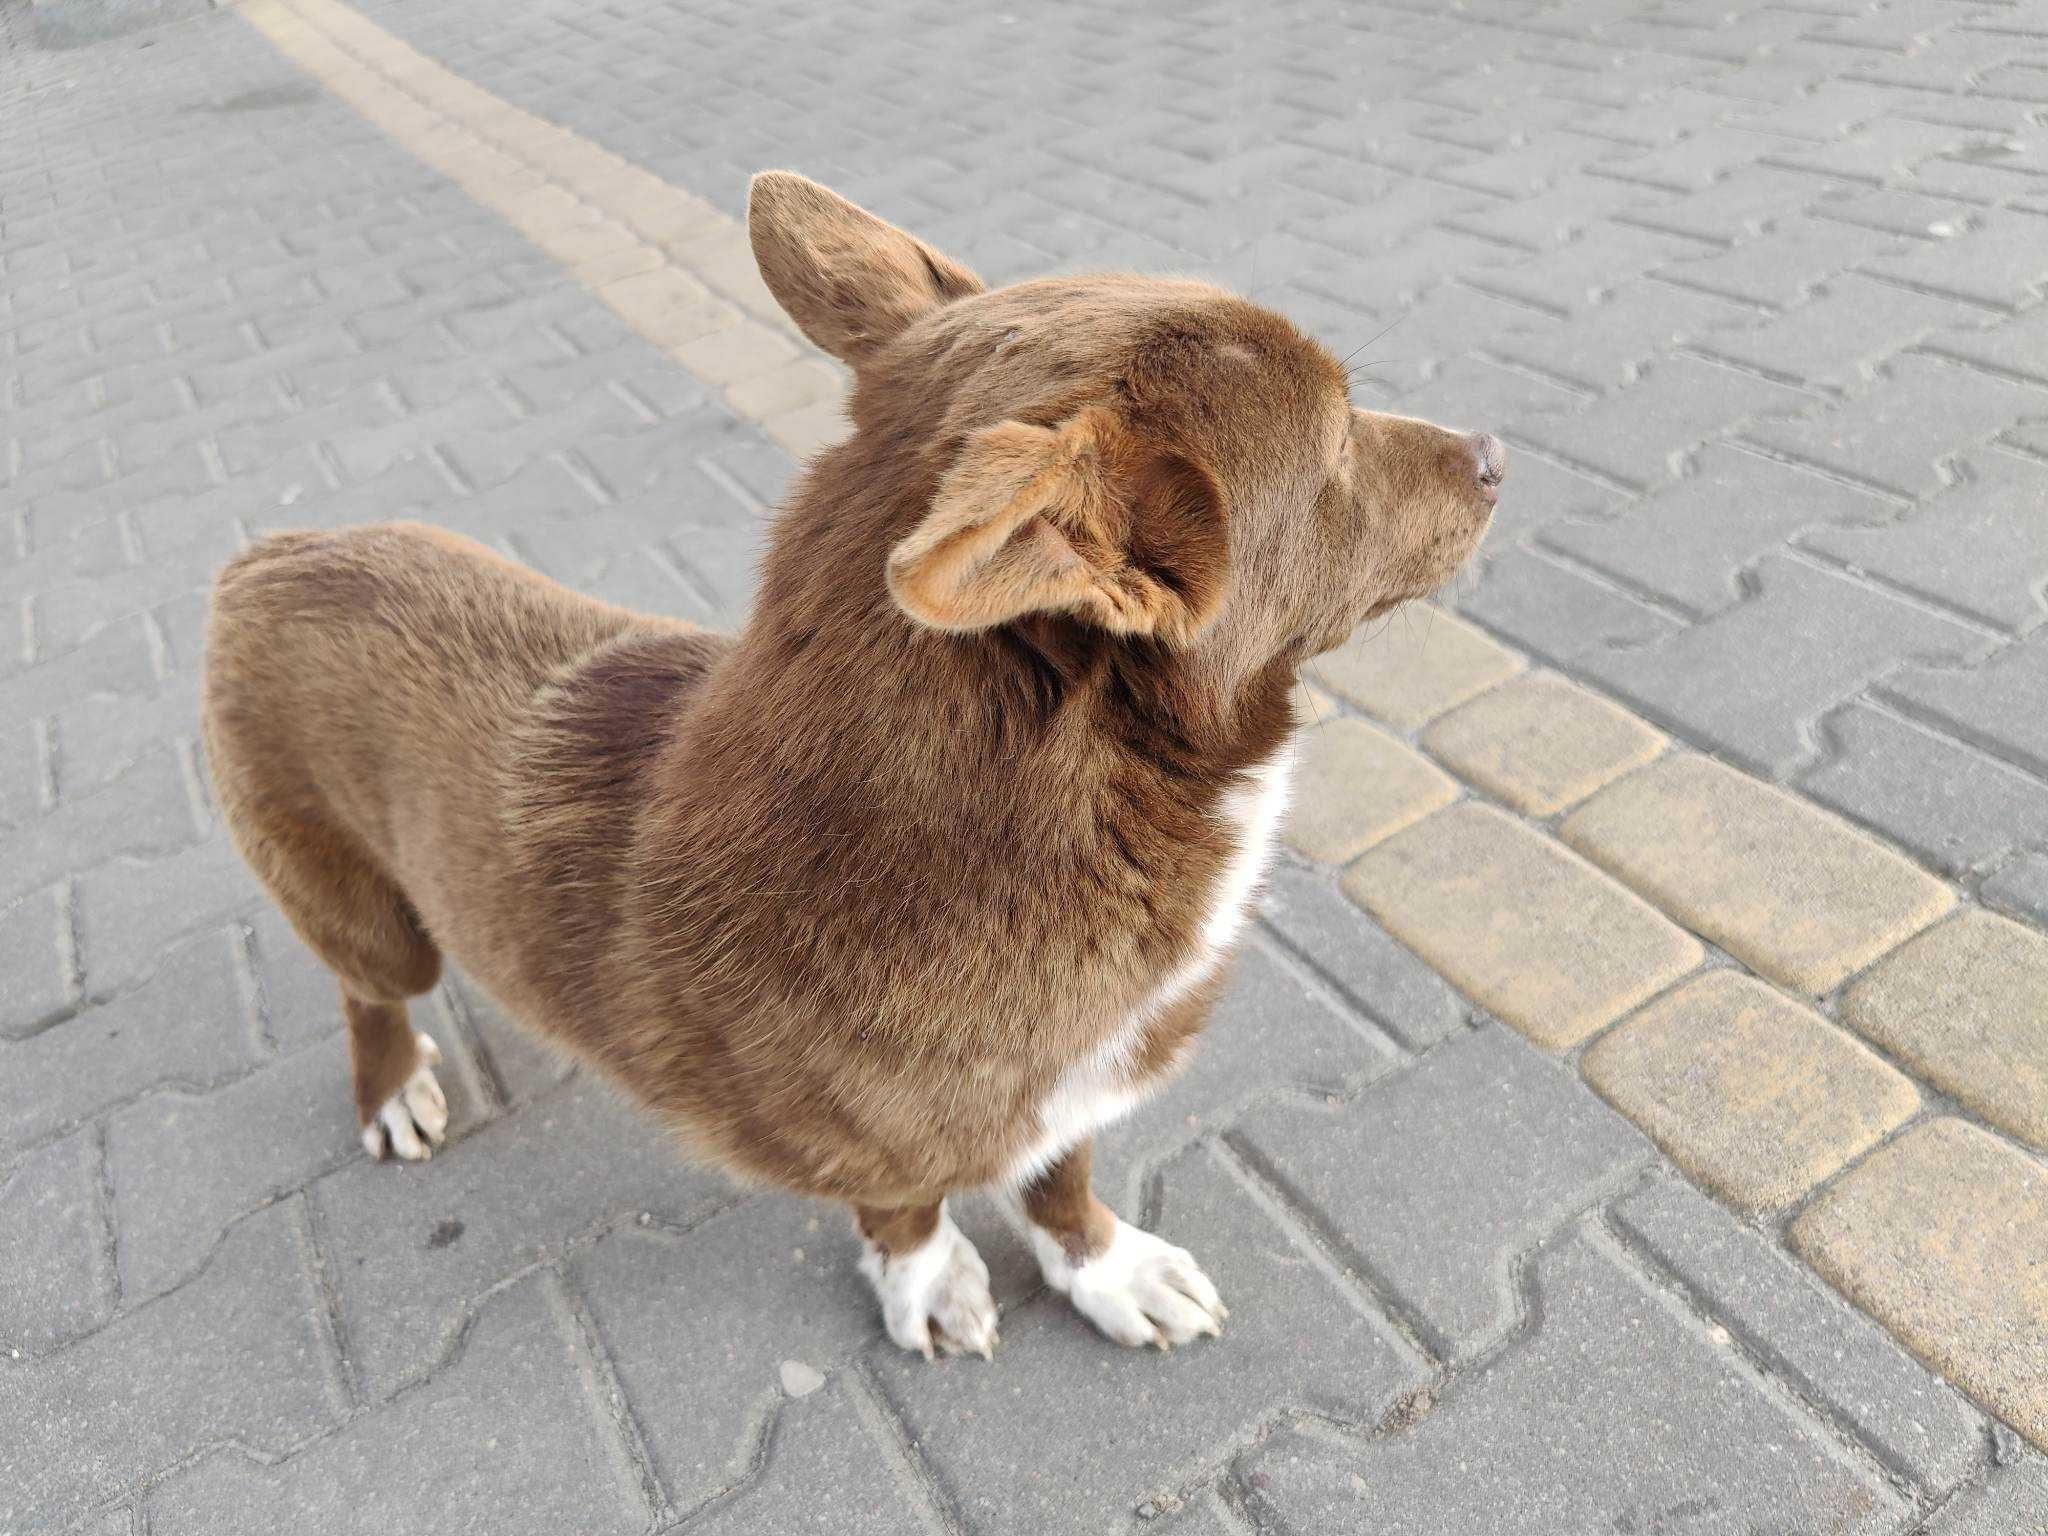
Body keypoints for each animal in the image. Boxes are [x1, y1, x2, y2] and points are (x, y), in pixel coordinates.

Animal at [199, 171, 1499, 1359]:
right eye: (1337, 442)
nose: (1493, 452)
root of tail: (270, 549)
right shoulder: (876, 1141)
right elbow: (909, 1210)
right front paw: (928, 1284)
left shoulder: (1060, 1096)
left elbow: (1061, 1178)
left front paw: (1105, 1268)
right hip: (368, 912)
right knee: (368, 991)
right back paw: (391, 1089)